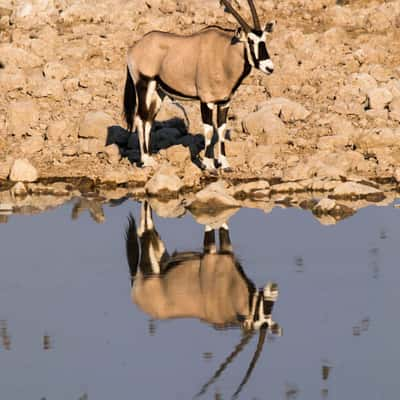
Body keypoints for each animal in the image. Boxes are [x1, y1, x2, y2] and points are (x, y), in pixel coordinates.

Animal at [124, 0, 276, 170]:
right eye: (250, 41)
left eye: (264, 39)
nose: (269, 68)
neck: (224, 53)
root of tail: (134, 48)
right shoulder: (206, 101)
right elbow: (209, 130)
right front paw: (209, 164)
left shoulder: (224, 102)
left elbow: (221, 129)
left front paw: (224, 164)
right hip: (144, 84)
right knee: (140, 117)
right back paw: (145, 160)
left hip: (158, 92)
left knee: (149, 119)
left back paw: (150, 157)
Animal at [125, 202, 282, 398]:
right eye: (258, 316)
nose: (273, 290)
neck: (228, 295)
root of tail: (135, 292)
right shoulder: (212, 254)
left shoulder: (225, 248)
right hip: (152, 259)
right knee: (144, 228)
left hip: (162, 254)